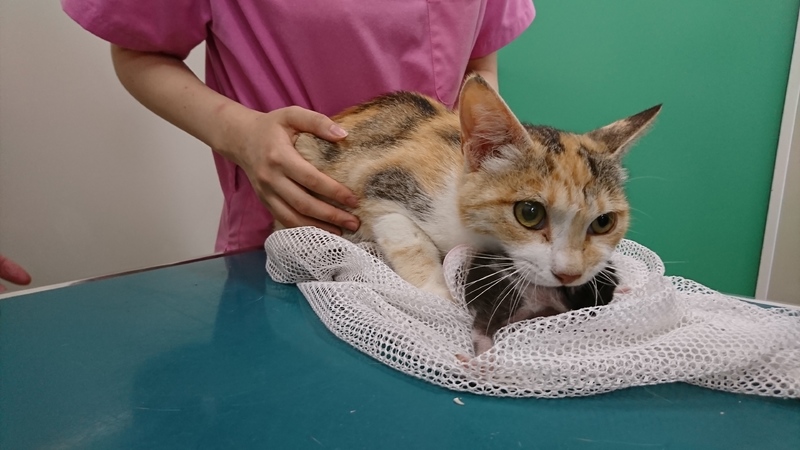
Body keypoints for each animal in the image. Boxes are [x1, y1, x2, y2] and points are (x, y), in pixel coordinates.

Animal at [294, 74, 659, 352]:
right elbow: (404, 234)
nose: (569, 274)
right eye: (529, 213)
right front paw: (439, 294)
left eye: (603, 222)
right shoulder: (378, 181)